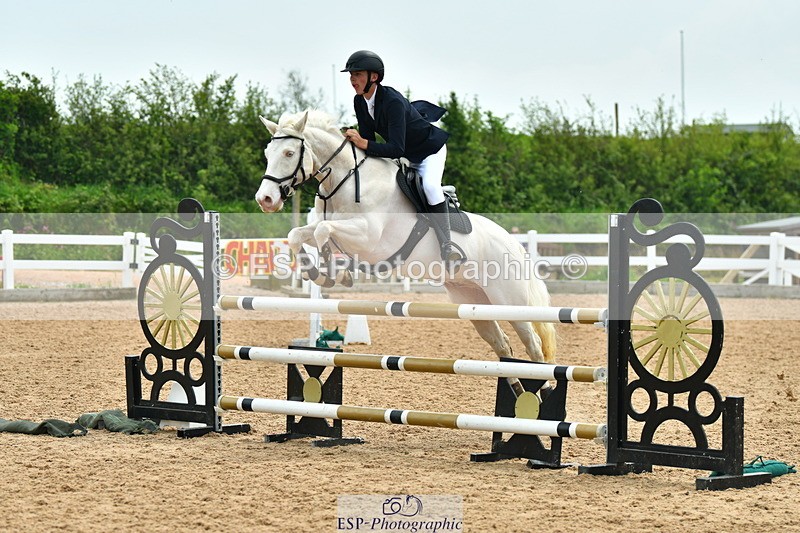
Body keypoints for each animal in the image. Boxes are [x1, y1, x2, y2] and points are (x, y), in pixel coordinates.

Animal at [254, 110, 557, 368]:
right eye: (268, 153)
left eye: (289, 152)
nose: (265, 199)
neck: (346, 180)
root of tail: (515, 244)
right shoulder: (329, 226)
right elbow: (299, 234)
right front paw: (319, 272)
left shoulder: (368, 236)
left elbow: (322, 232)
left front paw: (333, 273)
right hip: (473, 300)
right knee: (501, 343)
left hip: (510, 301)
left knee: (533, 344)